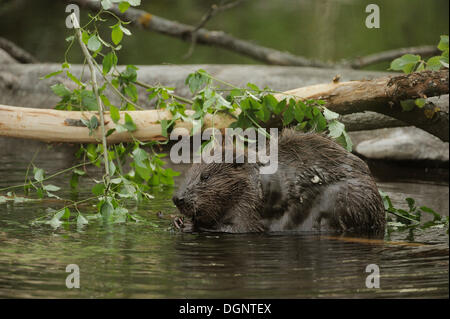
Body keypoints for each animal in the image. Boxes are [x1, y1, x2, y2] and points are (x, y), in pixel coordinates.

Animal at [171, 129, 384, 236]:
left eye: (205, 177)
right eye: (190, 172)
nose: (177, 198)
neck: (254, 179)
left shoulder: (249, 204)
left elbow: (241, 228)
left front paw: (188, 225)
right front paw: (178, 220)